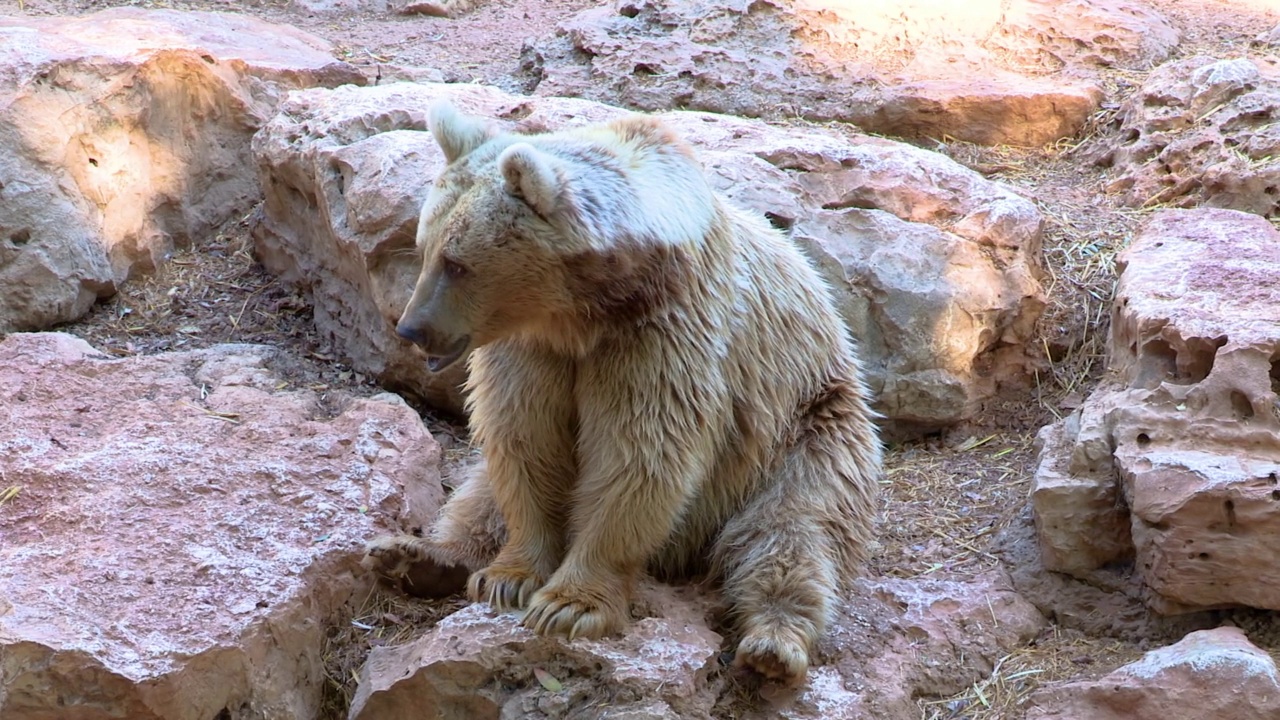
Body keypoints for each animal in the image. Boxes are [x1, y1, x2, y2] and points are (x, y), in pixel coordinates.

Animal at [366, 99, 885, 676]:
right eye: (423, 247)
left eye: (457, 263)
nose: (411, 329)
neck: (583, 313)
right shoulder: (532, 352)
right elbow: (524, 443)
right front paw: (508, 578)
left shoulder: (661, 335)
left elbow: (639, 454)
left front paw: (570, 605)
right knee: (476, 496)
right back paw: (415, 556)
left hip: (810, 430)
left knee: (793, 529)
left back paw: (773, 644)